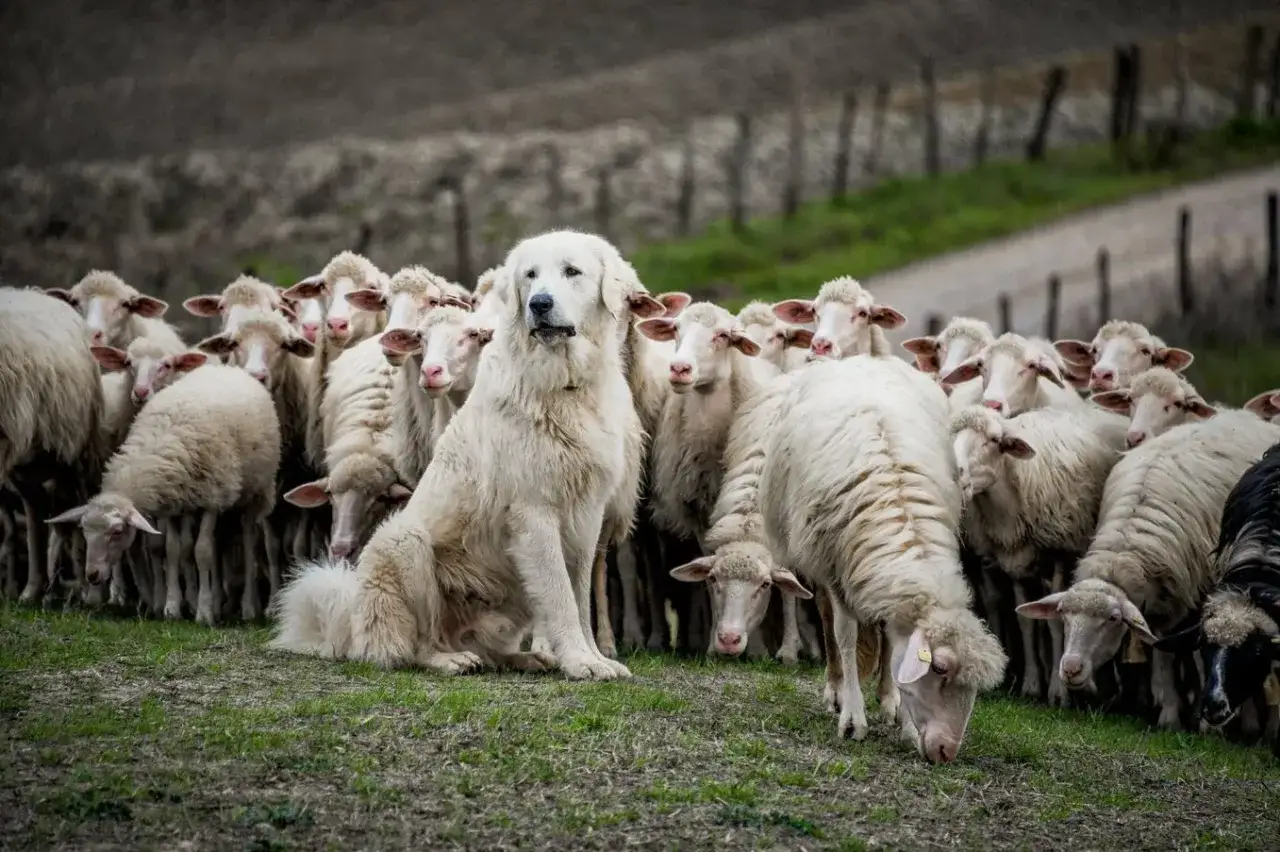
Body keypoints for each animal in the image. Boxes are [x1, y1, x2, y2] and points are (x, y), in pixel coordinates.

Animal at [48, 362, 280, 624]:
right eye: (84, 531)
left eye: (117, 532)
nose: (92, 575)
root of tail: (227, 367)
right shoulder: (173, 504)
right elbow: (172, 550)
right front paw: (173, 607)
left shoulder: (212, 498)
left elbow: (202, 552)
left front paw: (203, 612)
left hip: (255, 492)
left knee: (249, 541)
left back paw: (249, 607)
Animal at [269, 229, 655, 681]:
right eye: (530, 275)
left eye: (572, 271)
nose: (539, 304)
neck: (564, 386)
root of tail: (353, 625)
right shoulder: (535, 513)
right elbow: (560, 596)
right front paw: (579, 663)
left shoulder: (588, 514)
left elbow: (578, 597)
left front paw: (593, 658)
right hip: (405, 542)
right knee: (416, 644)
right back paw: (449, 658)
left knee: (489, 647)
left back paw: (524, 658)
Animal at [759, 355, 1006, 763]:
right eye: (940, 668)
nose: (946, 752)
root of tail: (862, 357)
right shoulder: (835, 567)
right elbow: (844, 635)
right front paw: (852, 718)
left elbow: (894, 647)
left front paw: (903, 722)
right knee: (827, 623)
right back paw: (836, 689)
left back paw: (888, 701)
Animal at [950, 404, 1128, 704]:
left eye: (994, 441)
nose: (956, 473)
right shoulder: (1013, 559)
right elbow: (1025, 621)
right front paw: (1032, 685)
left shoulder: (1059, 553)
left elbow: (1054, 621)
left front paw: (1058, 693)